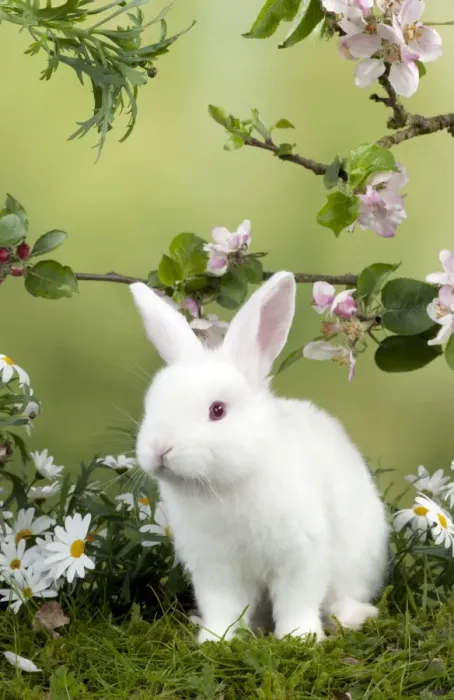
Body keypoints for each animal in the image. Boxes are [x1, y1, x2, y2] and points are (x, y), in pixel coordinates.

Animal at [130, 271, 389, 643]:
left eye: (218, 410)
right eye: (151, 403)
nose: (160, 449)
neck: (224, 486)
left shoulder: (301, 556)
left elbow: (297, 600)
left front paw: (300, 637)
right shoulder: (214, 568)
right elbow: (223, 605)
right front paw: (215, 639)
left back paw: (352, 616)